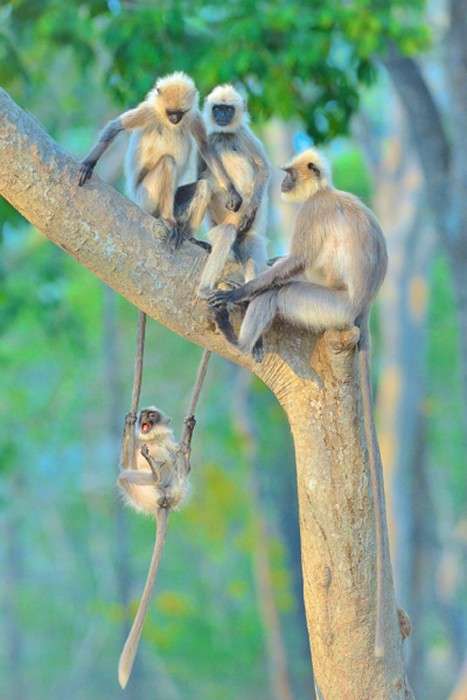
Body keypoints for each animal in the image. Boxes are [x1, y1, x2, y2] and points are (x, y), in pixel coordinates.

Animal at [78, 71, 239, 246]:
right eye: (170, 112)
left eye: (179, 113)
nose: (174, 119)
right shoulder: (149, 111)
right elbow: (115, 127)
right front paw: (88, 163)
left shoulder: (193, 116)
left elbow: (205, 148)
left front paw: (232, 190)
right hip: (146, 198)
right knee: (168, 162)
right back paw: (167, 219)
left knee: (204, 187)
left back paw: (188, 236)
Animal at [116, 404, 191, 688]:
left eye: (152, 415)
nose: (144, 418)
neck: (154, 439)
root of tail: (164, 502)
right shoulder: (140, 446)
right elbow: (125, 463)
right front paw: (128, 424)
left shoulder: (168, 444)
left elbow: (182, 461)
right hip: (143, 494)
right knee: (124, 475)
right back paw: (155, 473)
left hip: (172, 489)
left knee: (175, 468)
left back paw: (163, 469)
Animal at [197, 84, 270, 298]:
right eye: (218, 109)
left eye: (228, 109)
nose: (222, 116)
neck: (225, 134)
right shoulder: (210, 137)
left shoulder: (244, 134)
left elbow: (263, 169)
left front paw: (251, 208)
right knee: (225, 232)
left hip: (247, 233)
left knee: (251, 249)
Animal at [209, 146, 392, 656]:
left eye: (290, 174)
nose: (285, 184)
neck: (325, 192)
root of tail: (361, 311)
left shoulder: (312, 214)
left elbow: (293, 266)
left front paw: (242, 292)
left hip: (328, 309)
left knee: (285, 292)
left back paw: (238, 336)